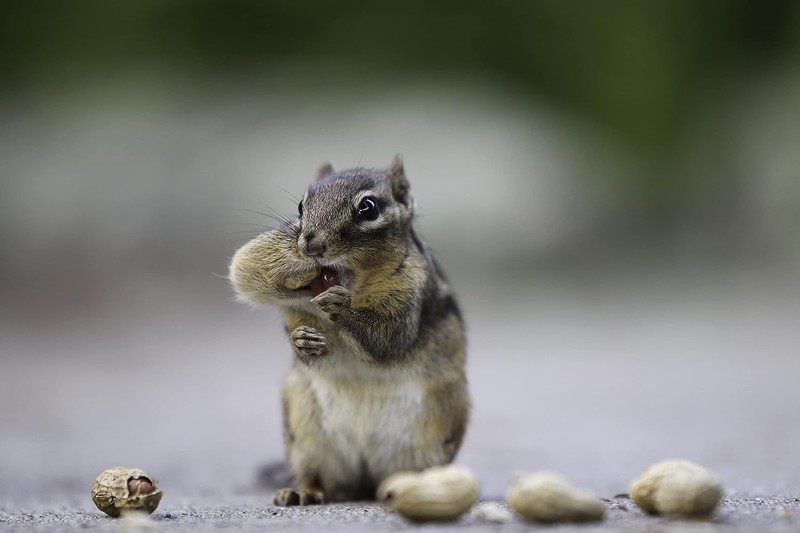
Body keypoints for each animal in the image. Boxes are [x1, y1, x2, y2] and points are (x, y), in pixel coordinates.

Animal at [229, 156, 469, 506]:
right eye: (301, 206)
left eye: (368, 208)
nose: (310, 244)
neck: (355, 282)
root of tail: (366, 480)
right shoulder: (295, 310)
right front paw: (302, 340)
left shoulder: (412, 296)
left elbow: (387, 339)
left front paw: (341, 306)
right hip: (306, 439)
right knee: (320, 479)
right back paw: (302, 490)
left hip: (436, 434)